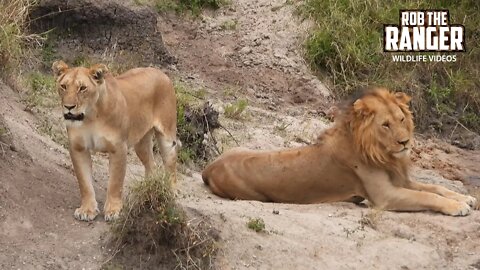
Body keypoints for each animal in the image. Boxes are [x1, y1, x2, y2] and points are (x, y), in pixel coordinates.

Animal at [51, 61, 178, 221]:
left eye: (83, 88)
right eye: (63, 86)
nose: (68, 107)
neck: (90, 117)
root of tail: (161, 73)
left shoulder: (118, 148)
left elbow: (115, 182)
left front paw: (113, 210)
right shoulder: (78, 148)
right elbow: (84, 182)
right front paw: (87, 210)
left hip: (166, 135)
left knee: (171, 163)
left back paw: (171, 193)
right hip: (141, 143)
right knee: (151, 164)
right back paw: (148, 191)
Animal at [202, 88, 476, 215]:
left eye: (401, 119)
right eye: (385, 125)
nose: (405, 142)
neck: (384, 155)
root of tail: (209, 167)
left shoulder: (400, 180)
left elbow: (435, 187)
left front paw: (466, 198)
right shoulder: (385, 196)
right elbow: (427, 196)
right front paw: (458, 206)